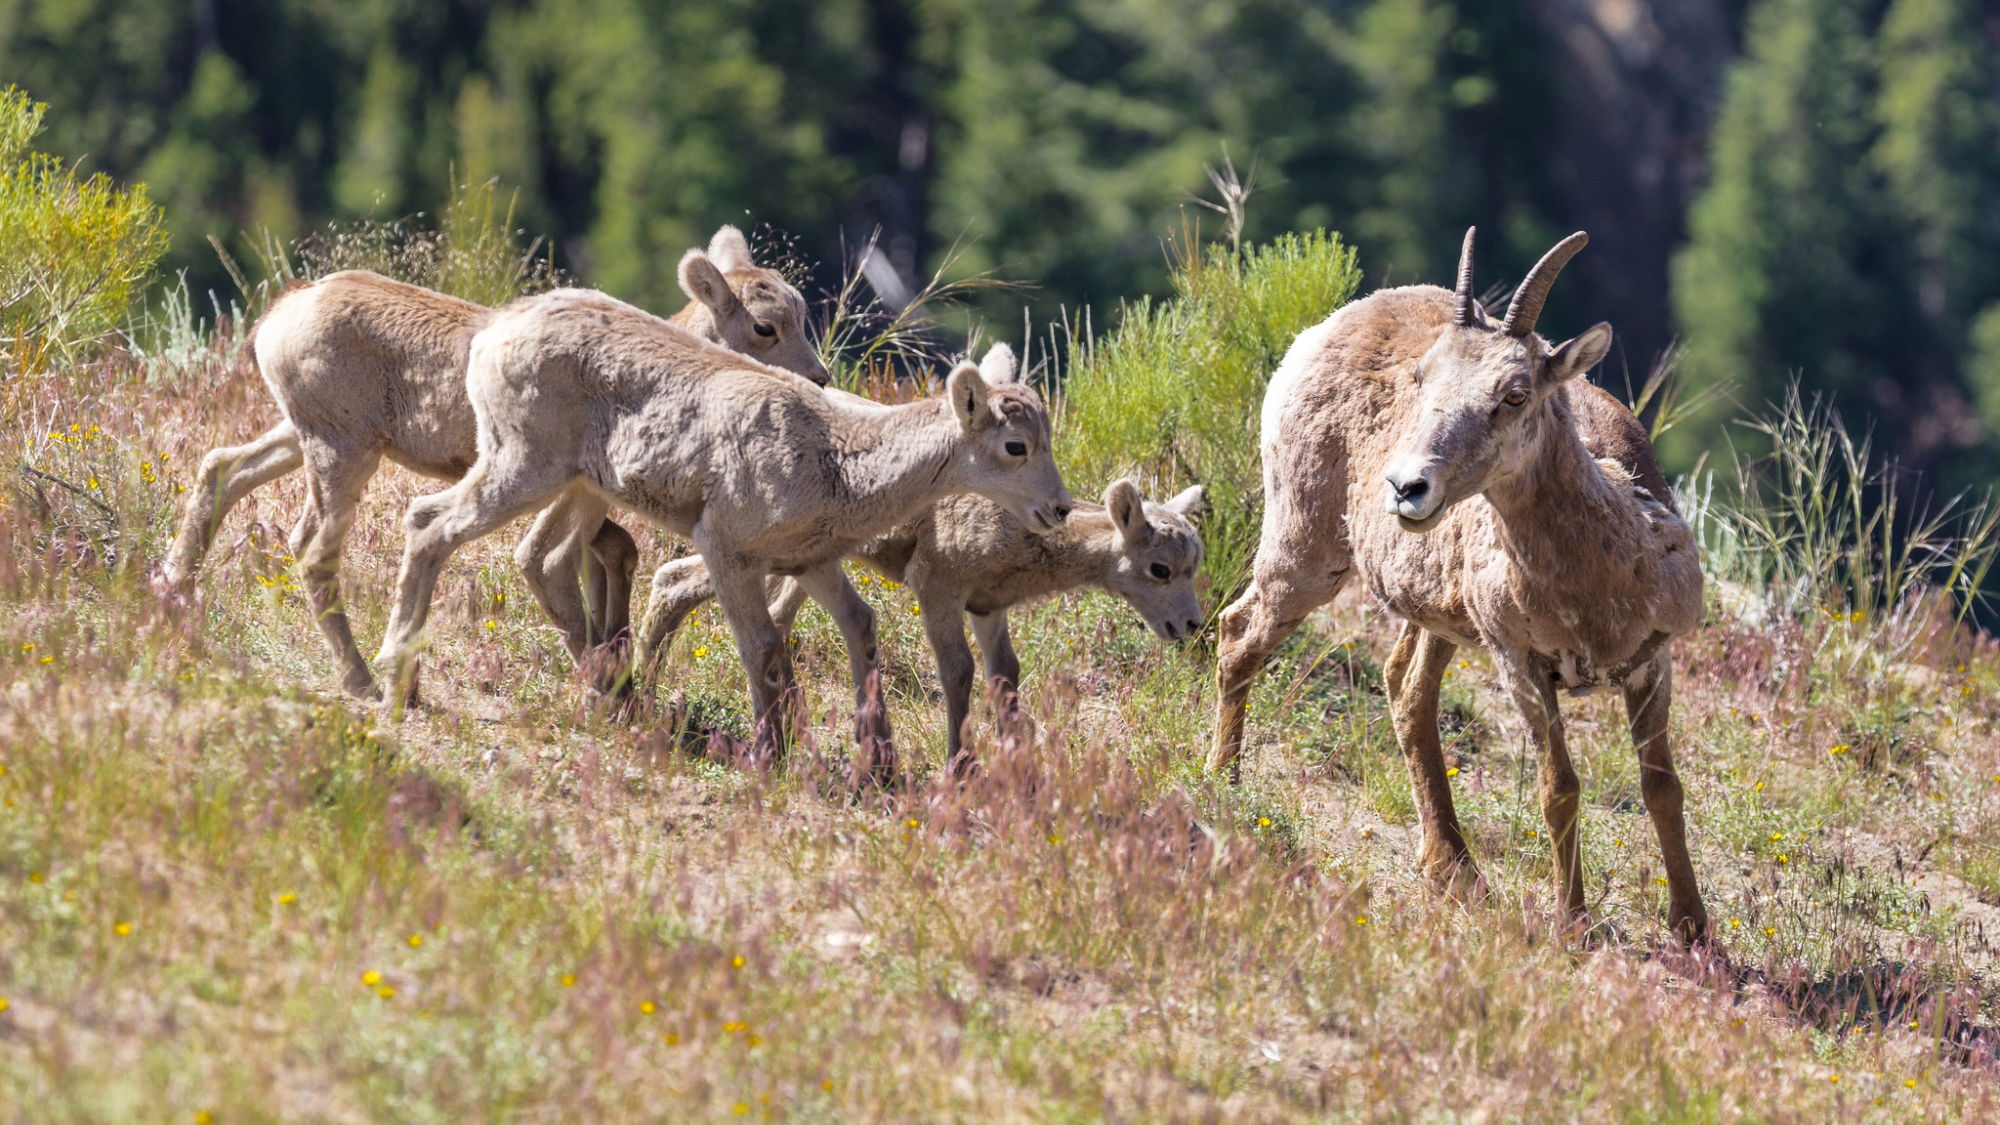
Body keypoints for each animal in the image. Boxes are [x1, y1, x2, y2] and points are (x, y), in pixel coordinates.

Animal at [162, 225, 823, 700]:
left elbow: (618, 554)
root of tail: (281, 316)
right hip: (342, 450)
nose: (820, 377)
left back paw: (172, 598)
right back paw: (367, 681)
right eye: (765, 326)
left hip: (301, 434)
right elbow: (567, 563)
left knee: (222, 470)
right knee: (312, 547)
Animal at [371, 297, 1072, 768]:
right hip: (523, 466)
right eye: (1015, 446)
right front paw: (772, 757)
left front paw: (877, 762)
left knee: (537, 558)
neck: (837, 460)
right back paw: (394, 677)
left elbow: (857, 630)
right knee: (431, 523)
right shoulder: (727, 551)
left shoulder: (811, 562)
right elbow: (761, 650)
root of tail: (493, 335)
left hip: (578, 485)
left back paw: (603, 694)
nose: (1060, 508)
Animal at [639, 474, 1205, 772]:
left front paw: (1015, 763)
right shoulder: (938, 587)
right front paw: (961, 766)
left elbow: (1005, 675)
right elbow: (958, 673)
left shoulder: (988, 607)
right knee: (674, 580)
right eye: (1159, 568)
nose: (1191, 624)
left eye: (1194, 563)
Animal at [1209, 229, 1709, 941]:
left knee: (1405, 688)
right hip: (1304, 548)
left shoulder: (1651, 662)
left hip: (1434, 615)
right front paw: (1573, 925)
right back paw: (1224, 786)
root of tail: (1318, 332)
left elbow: (1662, 787)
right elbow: (1559, 790)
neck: (1599, 583)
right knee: (1239, 633)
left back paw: (1454, 870)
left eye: (1516, 392)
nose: (1406, 487)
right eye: (1421, 378)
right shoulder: (1521, 665)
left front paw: (1694, 929)